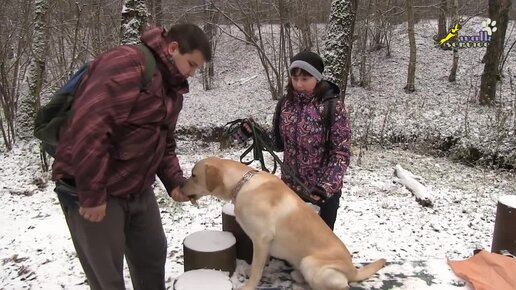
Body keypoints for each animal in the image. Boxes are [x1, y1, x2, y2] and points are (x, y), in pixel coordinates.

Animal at [181, 157, 382, 288]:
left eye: (193, 175)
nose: (180, 186)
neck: (242, 183)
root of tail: (354, 270)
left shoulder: (261, 239)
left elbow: (257, 269)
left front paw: (249, 285)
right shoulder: (263, 243)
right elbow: (259, 264)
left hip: (310, 263)